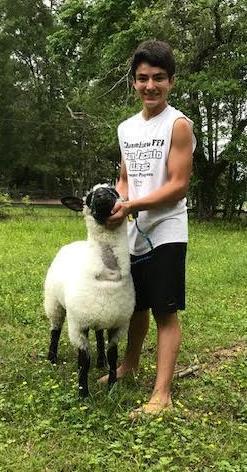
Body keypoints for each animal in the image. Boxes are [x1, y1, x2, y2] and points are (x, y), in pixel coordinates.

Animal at [44, 185, 135, 398]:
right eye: (90, 197)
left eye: (114, 191)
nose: (102, 194)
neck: (107, 276)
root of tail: (75, 243)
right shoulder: (78, 325)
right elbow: (83, 361)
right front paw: (83, 393)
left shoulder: (118, 324)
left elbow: (113, 356)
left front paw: (112, 387)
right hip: (54, 302)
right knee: (55, 329)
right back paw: (51, 358)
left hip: (100, 314)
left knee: (99, 335)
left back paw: (100, 361)